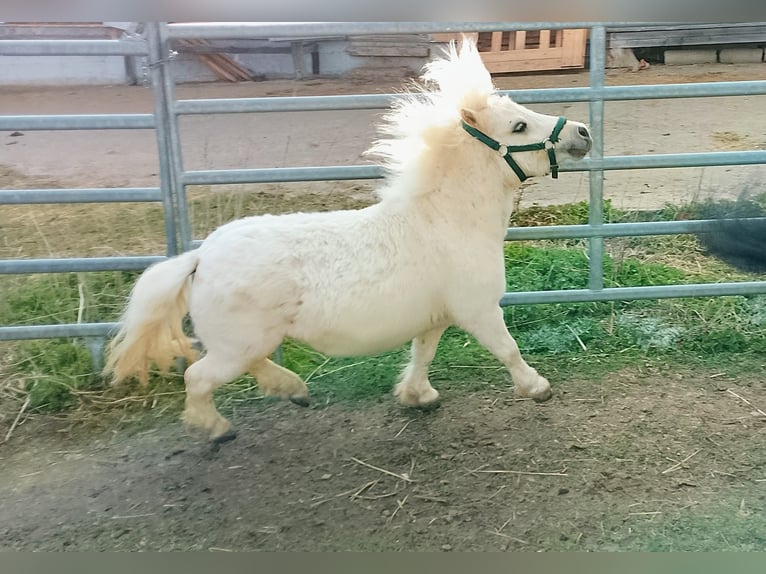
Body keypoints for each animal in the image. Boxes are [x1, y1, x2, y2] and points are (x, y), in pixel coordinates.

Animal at [104, 39, 593, 441]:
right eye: (518, 127)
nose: (582, 133)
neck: (447, 220)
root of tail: (201, 256)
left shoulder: (436, 316)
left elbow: (423, 354)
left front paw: (418, 397)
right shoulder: (478, 310)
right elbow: (508, 349)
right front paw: (537, 387)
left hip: (245, 342)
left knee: (251, 366)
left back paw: (294, 390)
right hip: (234, 346)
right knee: (200, 378)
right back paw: (219, 428)